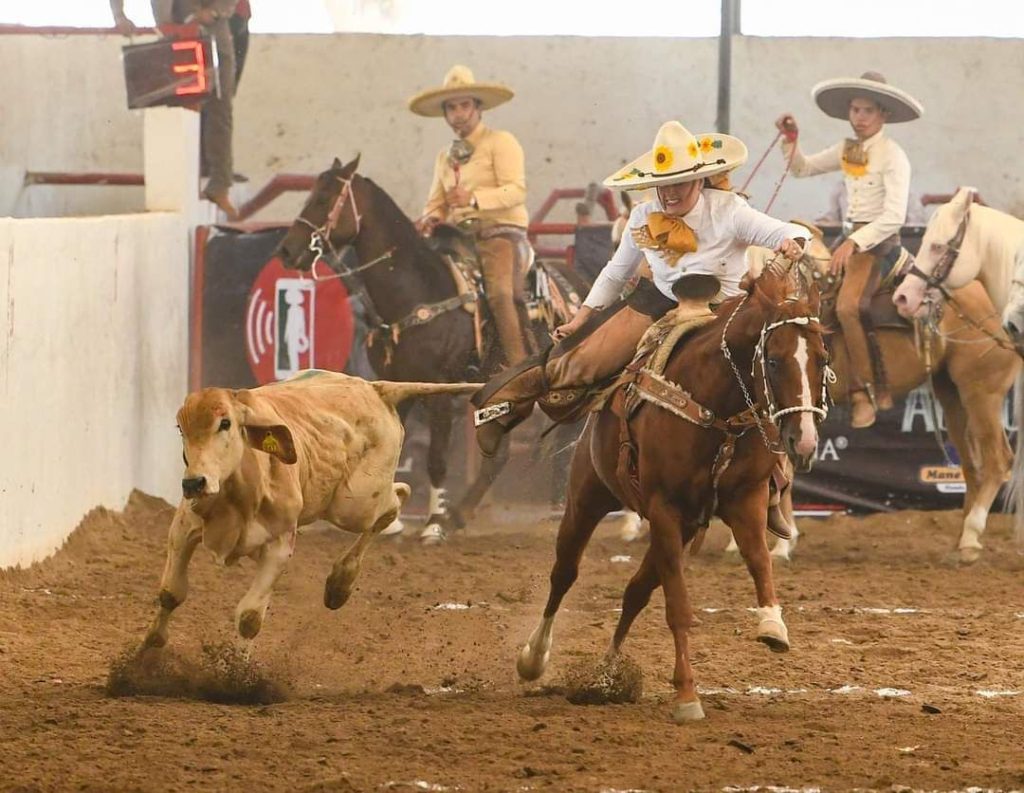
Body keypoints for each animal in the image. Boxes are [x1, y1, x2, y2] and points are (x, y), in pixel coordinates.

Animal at [144, 368, 479, 647]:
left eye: (225, 423)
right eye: (181, 429)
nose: (193, 483)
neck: (237, 496)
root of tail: (375, 387)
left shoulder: (280, 545)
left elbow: (249, 619)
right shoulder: (183, 528)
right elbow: (171, 593)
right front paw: (147, 652)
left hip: (353, 504)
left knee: (396, 498)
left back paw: (340, 583)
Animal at [276, 155, 589, 540]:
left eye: (323, 198)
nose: (287, 250)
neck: (418, 290)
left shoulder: (439, 391)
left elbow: (437, 458)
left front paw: (433, 523)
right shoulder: (397, 386)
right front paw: (393, 521)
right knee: (504, 454)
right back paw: (463, 513)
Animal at [520, 264, 831, 725]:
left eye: (823, 360)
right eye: (773, 361)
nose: (805, 441)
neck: (716, 410)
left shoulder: (746, 500)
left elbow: (759, 561)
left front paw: (773, 625)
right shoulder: (664, 508)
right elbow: (679, 609)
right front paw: (686, 695)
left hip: (680, 527)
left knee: (635, 591)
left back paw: (606, 673)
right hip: (587, 498)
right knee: (564, 574)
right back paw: (534, 657)